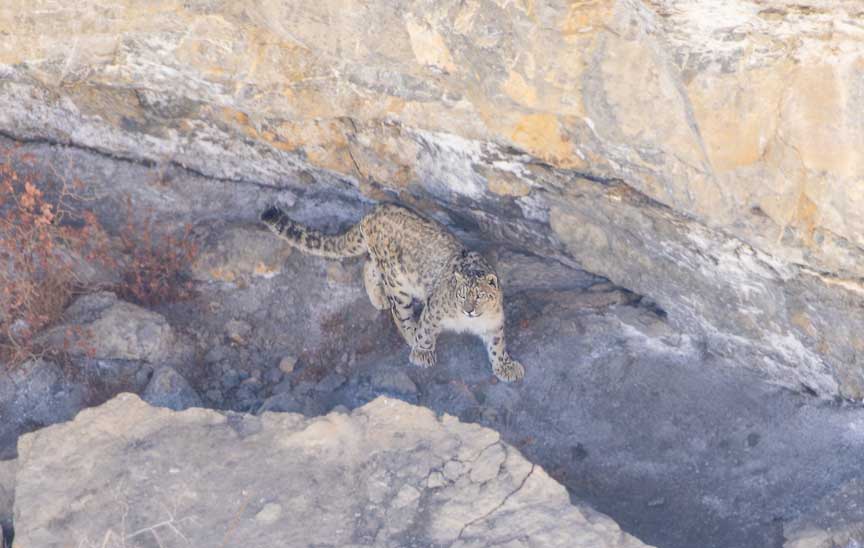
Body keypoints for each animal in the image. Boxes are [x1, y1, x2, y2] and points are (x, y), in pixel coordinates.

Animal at [260, 203, 524, 382]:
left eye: (479, 296)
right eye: (461, 295)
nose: (468, 311)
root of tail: (373, 211)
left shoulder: (494, 324)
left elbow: (497, 346)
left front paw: (506, 367)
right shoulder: (434, 311)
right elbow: (426, 330)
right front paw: (422, 353)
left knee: (368, 265)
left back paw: (378, 299)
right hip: (398, 283)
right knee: (400, 312)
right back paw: (407, 330)